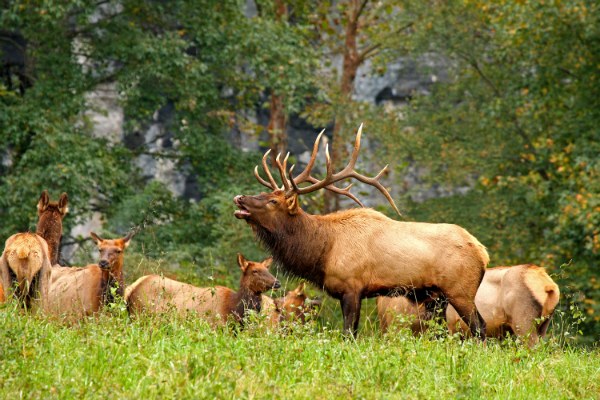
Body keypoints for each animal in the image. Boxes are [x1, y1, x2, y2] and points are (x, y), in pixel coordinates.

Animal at [232, 125, 490, 338]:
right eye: (263, 193)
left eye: (273, 201)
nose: (240, 197)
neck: (323, 251)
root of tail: (483, 253)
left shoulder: (352, 286)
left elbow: (349, 333)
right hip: (437, 298)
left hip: (461, 290)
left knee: (479, 326)